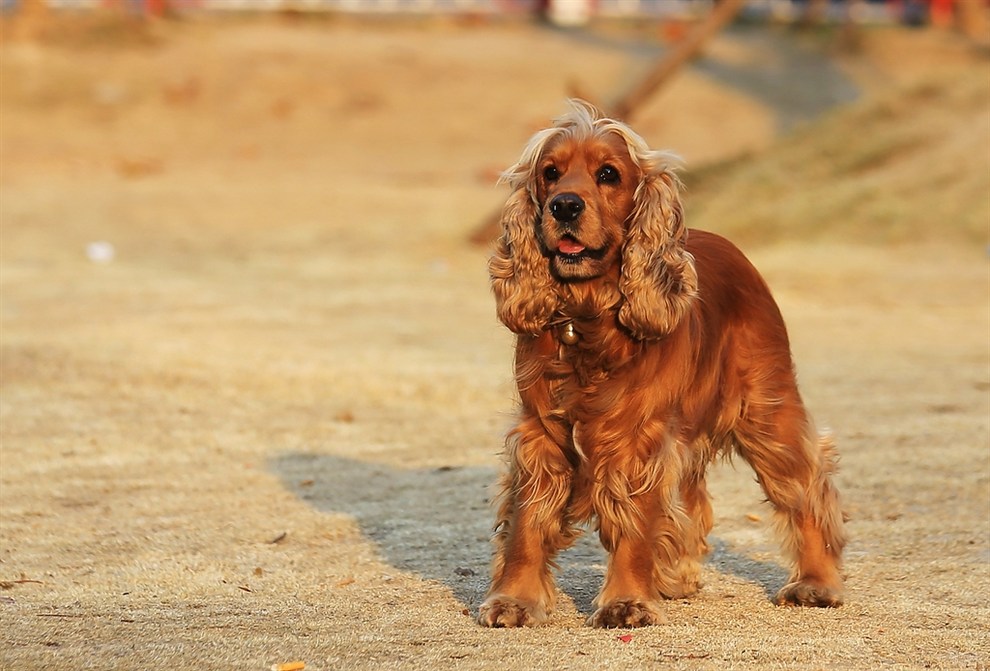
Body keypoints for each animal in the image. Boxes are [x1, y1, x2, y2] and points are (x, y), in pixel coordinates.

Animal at [478, 101, 844, 632]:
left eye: (608, 174)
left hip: (766, 413)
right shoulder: (540, 434)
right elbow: (528, 523)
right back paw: (676, 575)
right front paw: (515, 601)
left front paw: (627, 601)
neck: (587, 320)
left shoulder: (639, 439)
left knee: (807, 488)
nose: (564, 206)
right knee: (694, 498)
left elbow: (634, 526)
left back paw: (817, 583)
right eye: (550, 173)